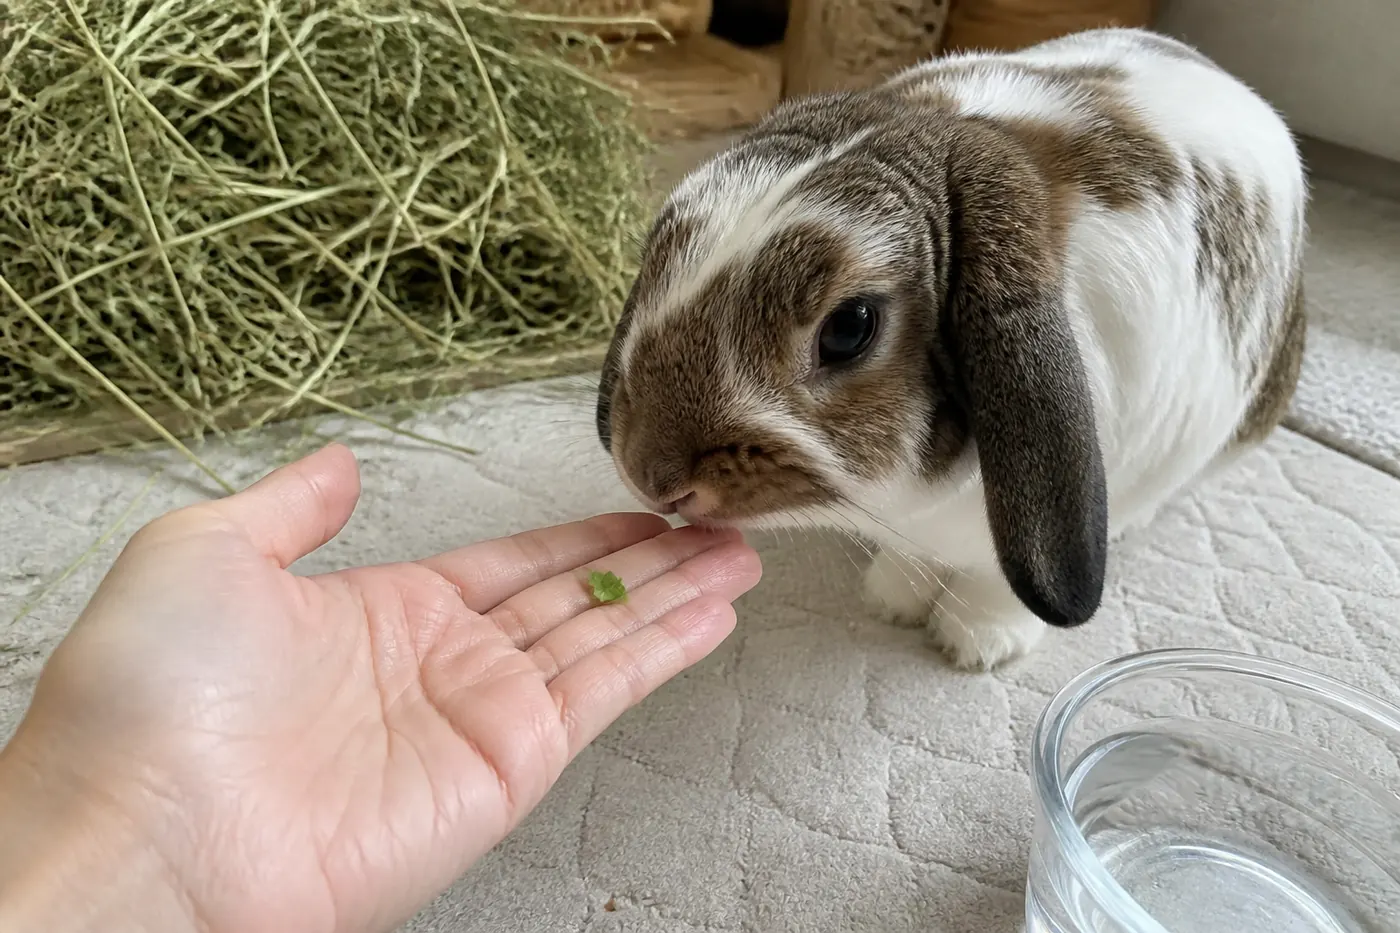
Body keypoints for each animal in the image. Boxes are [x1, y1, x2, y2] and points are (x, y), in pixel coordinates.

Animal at [593, 27, 1308, 670]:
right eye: (661, 249)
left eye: (849, 329)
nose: (651, 475)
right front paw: (892, 601)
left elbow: (997, 586)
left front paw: (977, 645)